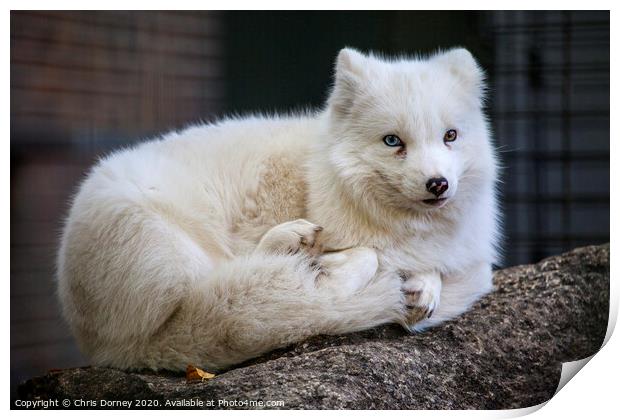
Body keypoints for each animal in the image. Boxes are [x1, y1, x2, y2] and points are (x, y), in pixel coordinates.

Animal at [58, 47, 502, 372]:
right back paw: (303, 256)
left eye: (450, 136)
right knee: (228, 284)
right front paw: (341, 267)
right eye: (393, 141)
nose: (438, 184)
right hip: (172, 246)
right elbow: (373, 255)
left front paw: (425, 285)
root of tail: (109, 349)